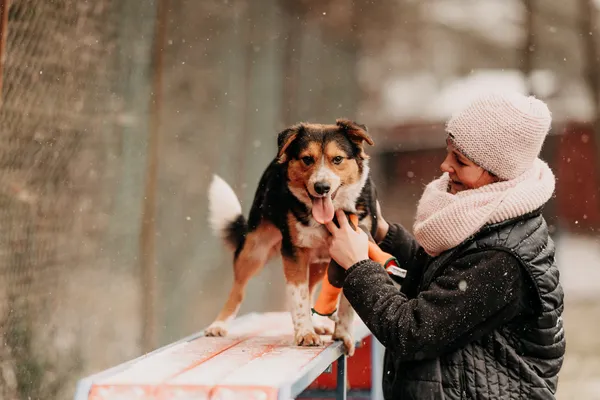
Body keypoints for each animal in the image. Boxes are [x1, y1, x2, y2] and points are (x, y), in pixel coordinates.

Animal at [206, 118, 380, 354]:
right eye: (307, 159)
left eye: (337, 159)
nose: (322, 187)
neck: (329, 218)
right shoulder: (294, 252)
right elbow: (298, 297)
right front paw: (305, 333)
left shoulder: (355, 248)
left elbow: (346, 303)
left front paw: (343, 334)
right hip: (255, 249)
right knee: (238, 290)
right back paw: (219, 325)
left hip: (320, 262)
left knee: (311, 287)